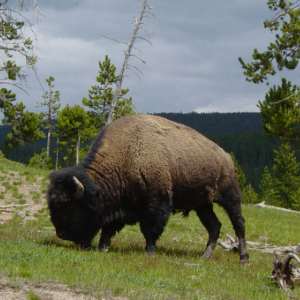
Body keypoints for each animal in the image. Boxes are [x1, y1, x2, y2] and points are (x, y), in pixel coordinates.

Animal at [47, 113, 248, 264]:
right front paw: (103, 247)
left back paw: (243, 258)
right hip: (203, 205)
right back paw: (205, 256)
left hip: (230, 196)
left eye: (69, 207)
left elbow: (149, 229)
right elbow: (109, 227)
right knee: (214, 226)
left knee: (238, 224)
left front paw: (149, 252)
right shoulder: (120, 207)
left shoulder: (156, 203)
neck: (125, 155)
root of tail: (226, 157)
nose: (61, 234)